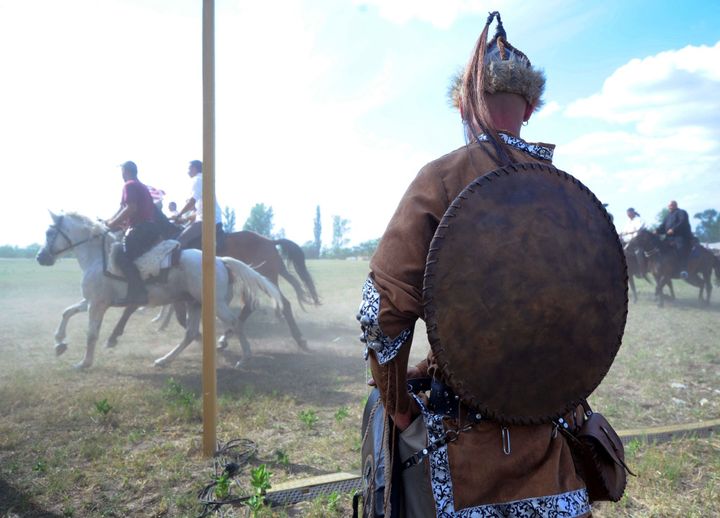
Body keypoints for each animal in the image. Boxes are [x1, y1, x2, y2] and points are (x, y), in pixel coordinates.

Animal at [36, 211, 282, 370]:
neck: (98, 257)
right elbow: (67, 312)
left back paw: (245, 357)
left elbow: (91, 334)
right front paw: (59, 342)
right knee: (190, 333)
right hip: (195, 303)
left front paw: (84, 362)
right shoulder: (90, 301)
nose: (40, 257)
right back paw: (165, 360)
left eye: (49, 233)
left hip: (215, 305)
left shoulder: (97, 305)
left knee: (235, 323)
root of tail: (220, 260)